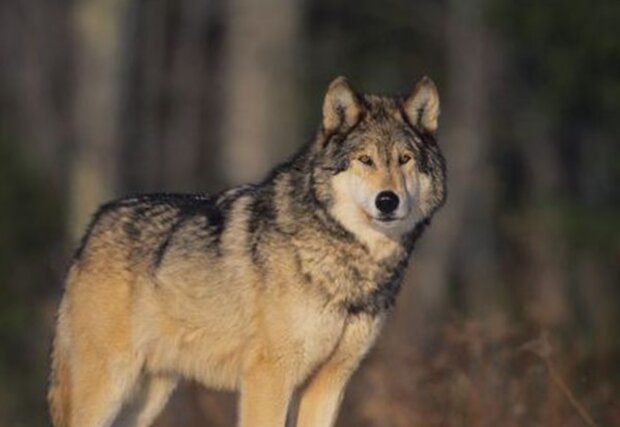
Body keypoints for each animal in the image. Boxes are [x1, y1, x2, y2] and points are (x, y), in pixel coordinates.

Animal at [47, 75, 446, 426]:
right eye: (365, 160)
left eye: (405, 159)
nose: (387, 201)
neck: (349, 260)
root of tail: (94, 225)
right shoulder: (269, 375)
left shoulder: (330, 382)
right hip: (109, 387)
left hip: (149, 397)